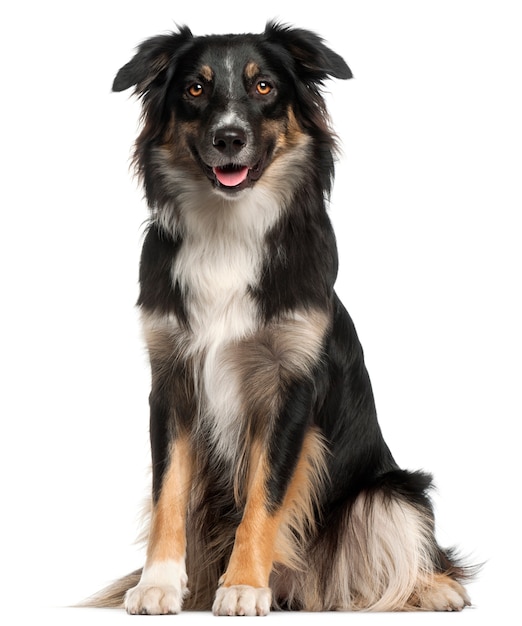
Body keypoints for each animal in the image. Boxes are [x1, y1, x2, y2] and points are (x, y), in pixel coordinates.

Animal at [87, 20, 474, 616]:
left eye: (264, 86)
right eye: (195, 89)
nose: (228, 137)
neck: (228, 230)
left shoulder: (289, 385)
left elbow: (264, 496)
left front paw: (245, 584)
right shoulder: (171, 380)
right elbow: (168, 492)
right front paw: (158, 583)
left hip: (390, 490)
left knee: (394, 556)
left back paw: (434, 587)